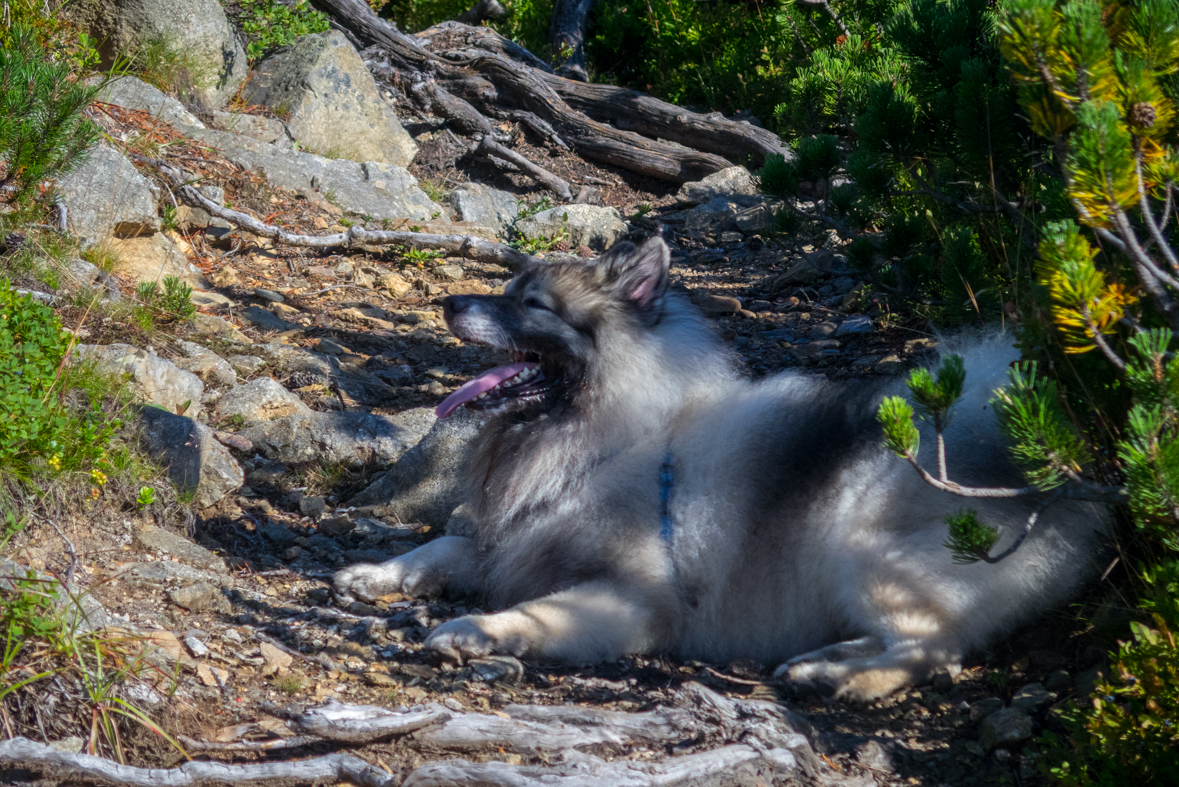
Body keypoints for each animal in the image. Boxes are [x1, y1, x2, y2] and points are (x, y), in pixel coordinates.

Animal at [337, 235, 1108, 702]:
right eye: (507, 288)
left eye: (531, 305)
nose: (448, 302)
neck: (609, 440)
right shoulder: (516, 539)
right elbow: (444, 546)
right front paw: (374, 573)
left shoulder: (631, 599)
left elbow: (533, 609)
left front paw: (475, 630)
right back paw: (820, 658)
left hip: (863, 548)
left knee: (933, 649)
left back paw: (841, 678)